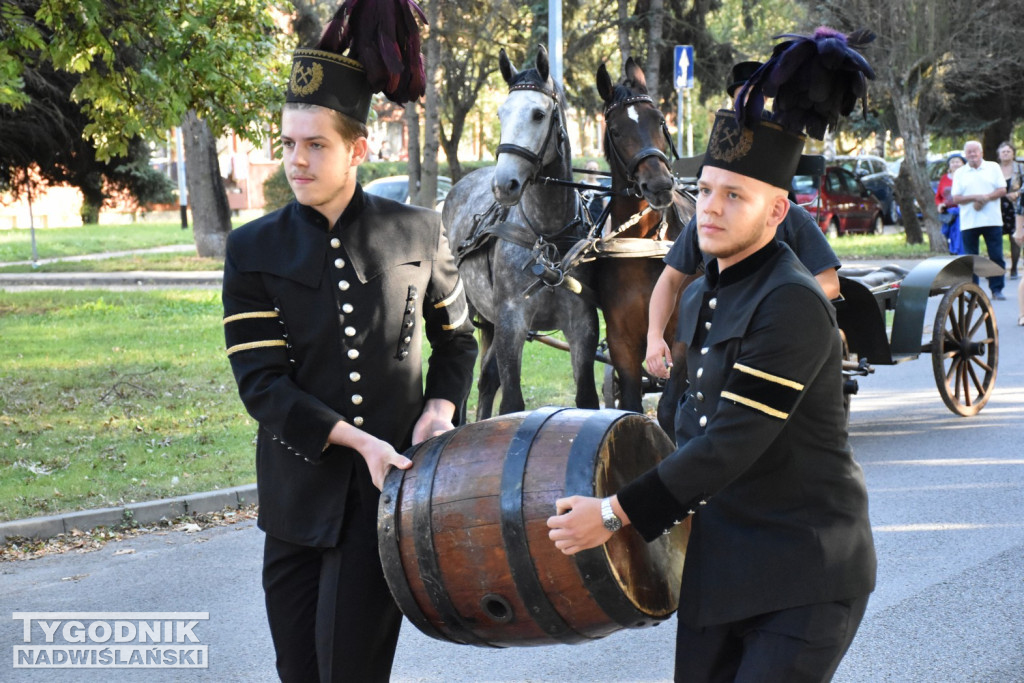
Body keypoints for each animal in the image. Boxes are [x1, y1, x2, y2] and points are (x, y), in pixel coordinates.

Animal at [442, 45, 598, 419]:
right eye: (500, 114)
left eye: (539, 114)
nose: (504, 184)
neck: (548, 237)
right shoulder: (511, 321)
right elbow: (512, 402)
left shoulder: (583, 324)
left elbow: (587, 397)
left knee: (486, 380)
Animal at [598, 58, 700, 413]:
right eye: (616, 130)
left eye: (659, 121)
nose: (659, 185)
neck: (641, 246)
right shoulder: (622, 341)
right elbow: (630, 402)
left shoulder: (680, 336)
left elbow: (670, 406)